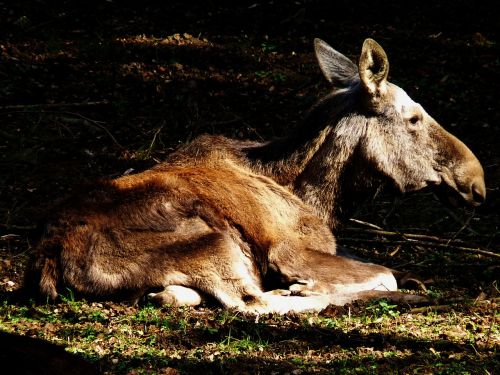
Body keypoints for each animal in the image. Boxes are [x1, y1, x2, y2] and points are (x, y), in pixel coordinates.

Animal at [23, 39, 484, 314]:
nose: (476, 182)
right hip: (214, 241)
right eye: (413, 118)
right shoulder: (289, 250)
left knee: (179, 295)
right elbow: (384, 271)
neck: (318, 195)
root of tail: (48, 256)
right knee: (252, 302)